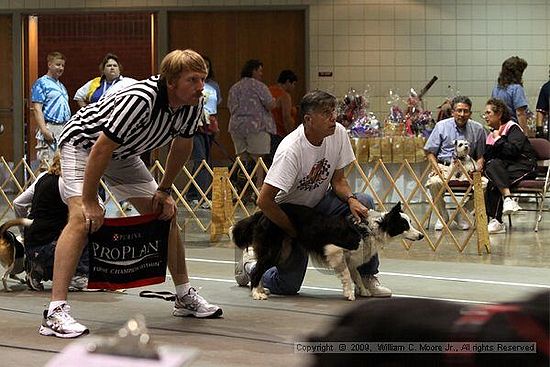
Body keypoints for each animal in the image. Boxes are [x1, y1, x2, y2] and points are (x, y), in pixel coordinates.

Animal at [231, 203, 424, 300]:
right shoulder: (334, 250)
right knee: (257, 269)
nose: (421, 235)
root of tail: (262, 213)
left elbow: (356, 275)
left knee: (260, 267)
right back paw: (256, 293)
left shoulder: (351, 258)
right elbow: (346, 274)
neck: (371, 228)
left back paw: (261, 289)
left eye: (410, 222)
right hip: (275, 249)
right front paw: (349, 294)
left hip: (283, 250)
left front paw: (363, 290)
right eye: (404, 225)